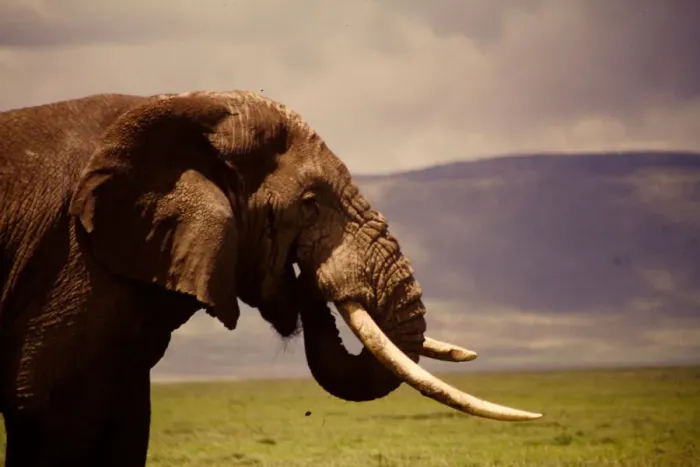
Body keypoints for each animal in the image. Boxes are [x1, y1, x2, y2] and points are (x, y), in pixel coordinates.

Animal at [0, 90, 541, 466]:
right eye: (309, 204)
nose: (304, 276)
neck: (180, 107)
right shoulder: (70, 262)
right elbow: (51, 413)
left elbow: (127, 425)